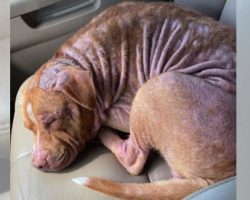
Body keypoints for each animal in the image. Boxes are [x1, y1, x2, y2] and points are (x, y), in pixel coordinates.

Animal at [22, 1, 235, 200]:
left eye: (51, 120)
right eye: (29, 128)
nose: (37, 163)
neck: (82, 61)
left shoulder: (122, 110)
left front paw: (95, 128)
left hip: (155, 87)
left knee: (132, 157)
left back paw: (104, 134)